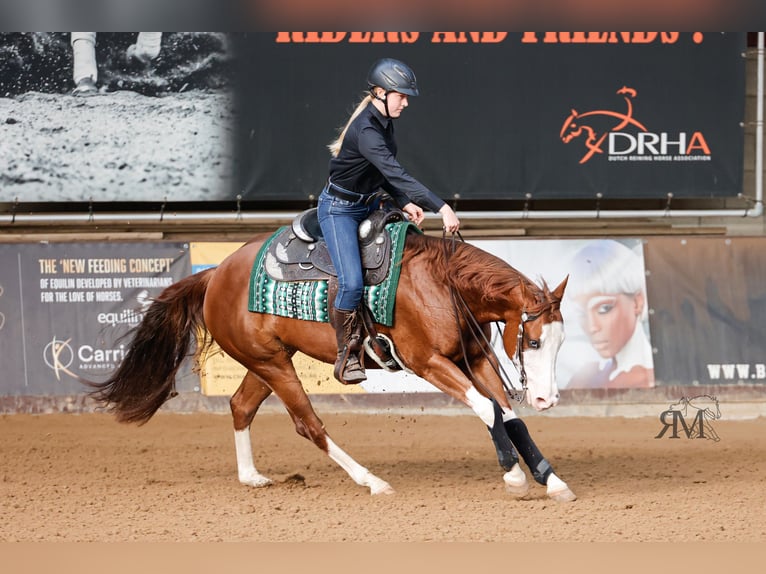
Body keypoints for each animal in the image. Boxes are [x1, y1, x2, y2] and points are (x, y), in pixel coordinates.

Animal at [87, 226, 576, 502]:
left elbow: (508, 415)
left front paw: (550, 480)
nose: (546, 399)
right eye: (533, 341)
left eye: (561, 342)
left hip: (269, 361)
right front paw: (514, 476)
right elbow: (486, 408)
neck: (441, 284)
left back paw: (251, 477)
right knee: (308, 424)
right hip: (273, 365)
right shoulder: (428, 362)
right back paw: (371, 481)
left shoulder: (473, 359)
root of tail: (215, 275)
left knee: (240, 406)